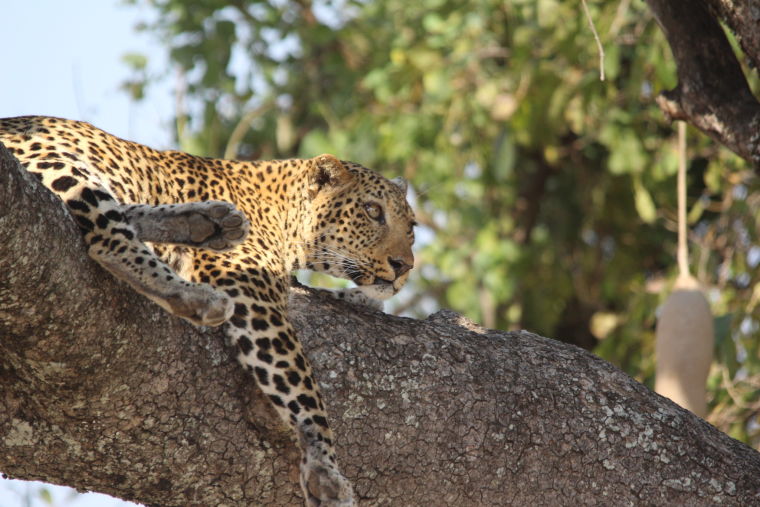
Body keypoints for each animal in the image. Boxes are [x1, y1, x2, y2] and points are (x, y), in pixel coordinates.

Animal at [0, 116, 416, 507]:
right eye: (372, 211)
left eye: (411, 227)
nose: (404, 267)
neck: (282, 212)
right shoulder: (252, 292)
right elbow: (301, 381)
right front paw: (324, 468)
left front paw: (364, 298)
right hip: (62, 162)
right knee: (107, 236)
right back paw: (194, 293)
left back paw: (206, 222)